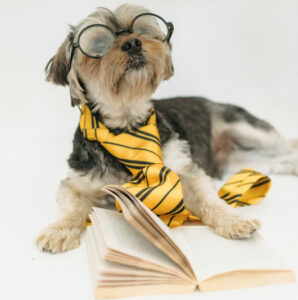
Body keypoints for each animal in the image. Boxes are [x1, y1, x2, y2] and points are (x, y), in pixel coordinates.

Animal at [36, 4, 298, 253]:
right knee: (273, 162)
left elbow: (208, 198)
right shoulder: (77, 182)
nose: (133, 43)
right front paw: (58, 230)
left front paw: (232, 220)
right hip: (237, 162)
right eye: (99, 44)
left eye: (141, 30)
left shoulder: (186, 170)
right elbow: (70, 206)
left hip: (247, 128)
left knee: (286, 143)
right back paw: (292, 167)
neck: (127, 127)